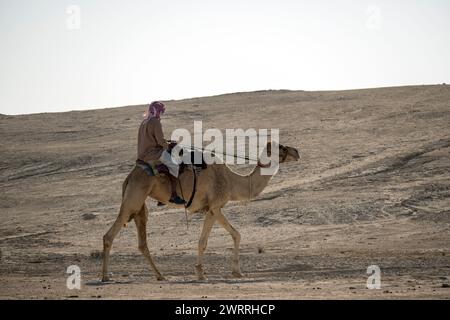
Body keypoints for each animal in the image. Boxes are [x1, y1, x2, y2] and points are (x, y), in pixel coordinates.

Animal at [101, 141, 298, 282]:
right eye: (282, 146)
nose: (297, 152)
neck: (232, 182)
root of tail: (129, 177)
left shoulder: (210, 209)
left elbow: (207, 240)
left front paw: (203, 272)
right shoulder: (216, 206)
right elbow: (233, 235)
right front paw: (233, 272)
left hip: (140, 206)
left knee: (142, 242)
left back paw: (160, 275)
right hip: (134, 198)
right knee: (109, 235)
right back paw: (105, 276)